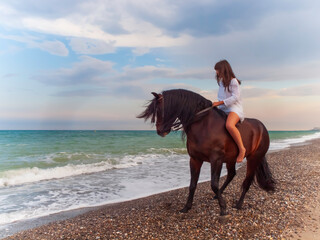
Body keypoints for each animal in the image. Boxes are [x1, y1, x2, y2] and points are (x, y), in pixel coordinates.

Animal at [138, 88, 276, 216]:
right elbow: (192, 185)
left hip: (254, 158)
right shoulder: (195, 159)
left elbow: (214, 184)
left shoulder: (216, 160)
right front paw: (186, 207)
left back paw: (238, 204)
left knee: (247, 181)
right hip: (231, 159)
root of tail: (262, 127)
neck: (204, 125)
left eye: (159, 109)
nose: (160, 131)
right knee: (232, 174)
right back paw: (219, 195)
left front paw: (223, 208)